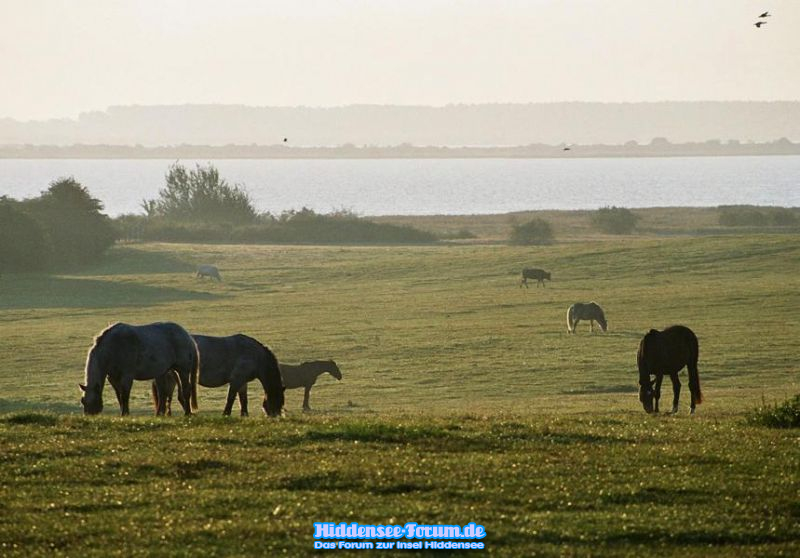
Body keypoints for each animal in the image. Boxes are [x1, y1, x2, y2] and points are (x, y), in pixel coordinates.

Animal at [156, 334, 284, 418]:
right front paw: (226, 414)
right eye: (277, 400)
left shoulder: (243, 381)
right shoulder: (236, 380)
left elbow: (243, 399)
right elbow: (231, 397)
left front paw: (244, 415)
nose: (276, 416)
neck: (255, 355)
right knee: (166, 395)